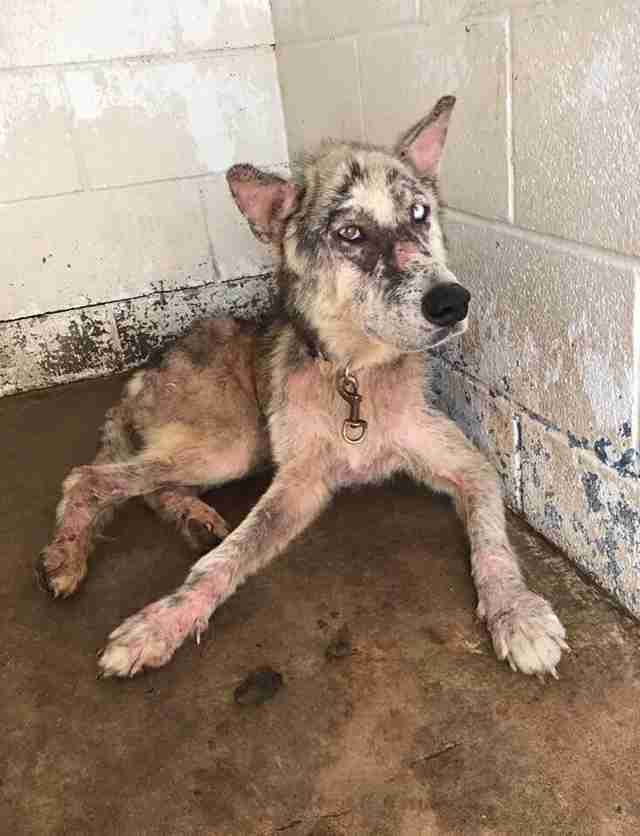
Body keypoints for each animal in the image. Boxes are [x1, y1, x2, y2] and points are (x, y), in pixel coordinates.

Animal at [35, 94, 568, 680]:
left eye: (419, 214)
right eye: (350, 234)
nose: (452, 302)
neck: (353, 378)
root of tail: (145, 370)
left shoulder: (471, 467)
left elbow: (493, 543)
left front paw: (517, 614)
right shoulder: (297, 484)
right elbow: (223, 561)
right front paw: (160, 623)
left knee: (146, 486)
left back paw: (190, 519)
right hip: (233, 444)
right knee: (89, 477)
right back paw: (67, 556)